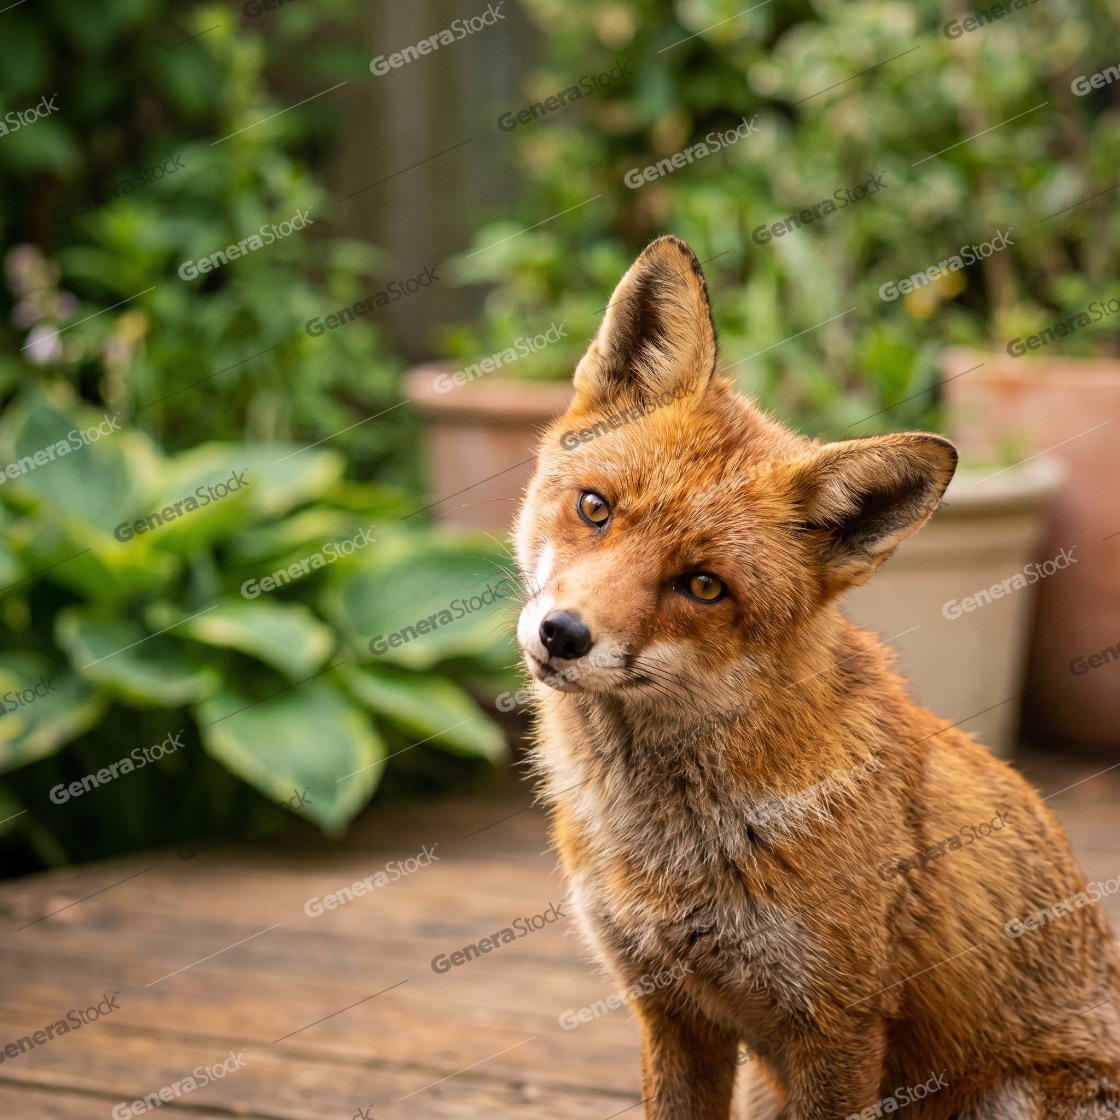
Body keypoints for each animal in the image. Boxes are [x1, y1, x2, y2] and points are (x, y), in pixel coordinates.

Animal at [513, 235, 1120, 1120]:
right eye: (595, 509)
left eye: (704, 585)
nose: (562, 636)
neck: (672, 847)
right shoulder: (672, 1013)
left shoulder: (836, 1029)